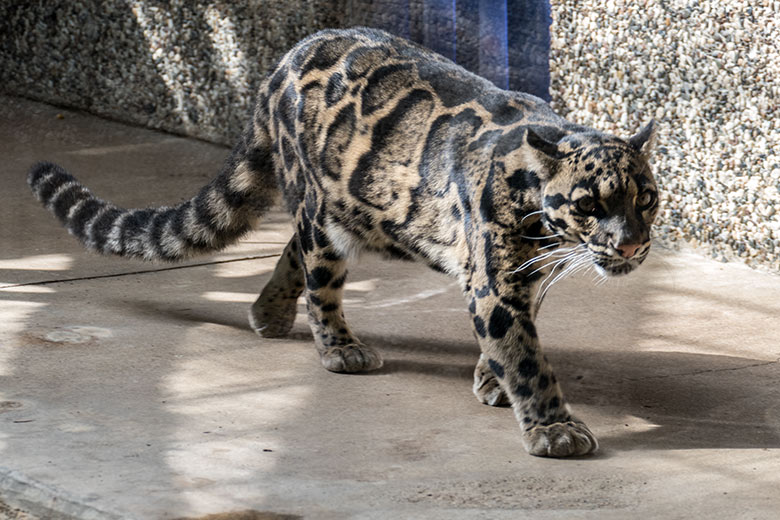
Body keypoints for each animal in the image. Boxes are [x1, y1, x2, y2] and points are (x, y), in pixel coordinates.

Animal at [25, 27, 660, 456]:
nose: (630, 246)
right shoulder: (495, 281)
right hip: (322, 212)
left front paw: (491, 380)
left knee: (292, 253)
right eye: (590, 206)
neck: (543, 229)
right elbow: (525, 355)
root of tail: (285, 59)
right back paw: (337, 347)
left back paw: (267, 314)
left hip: (340, 211)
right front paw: (553, 427)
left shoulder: (525, 278)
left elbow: (511, 342)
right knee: (317, 276)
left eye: (646, 200)